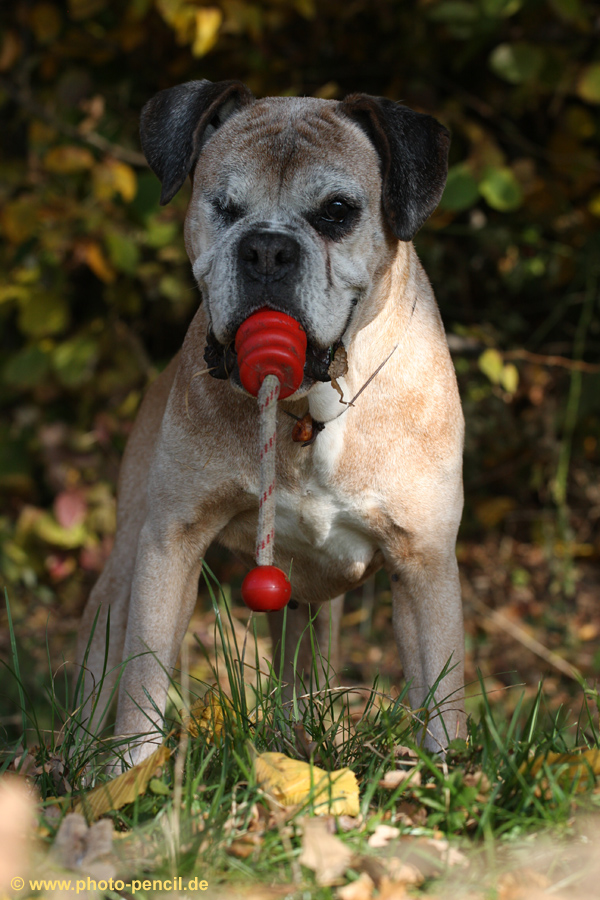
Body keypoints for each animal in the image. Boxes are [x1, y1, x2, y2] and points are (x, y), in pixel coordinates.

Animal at [76, 79, 468, 760]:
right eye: (225, 207)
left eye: (337, 211)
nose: (266, 247)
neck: (308, 409)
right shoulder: (169, 543)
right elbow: (143, 681)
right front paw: (132, 775)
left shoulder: (424, 563)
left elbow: (441, 700)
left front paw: (448, 773)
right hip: (125, 569)